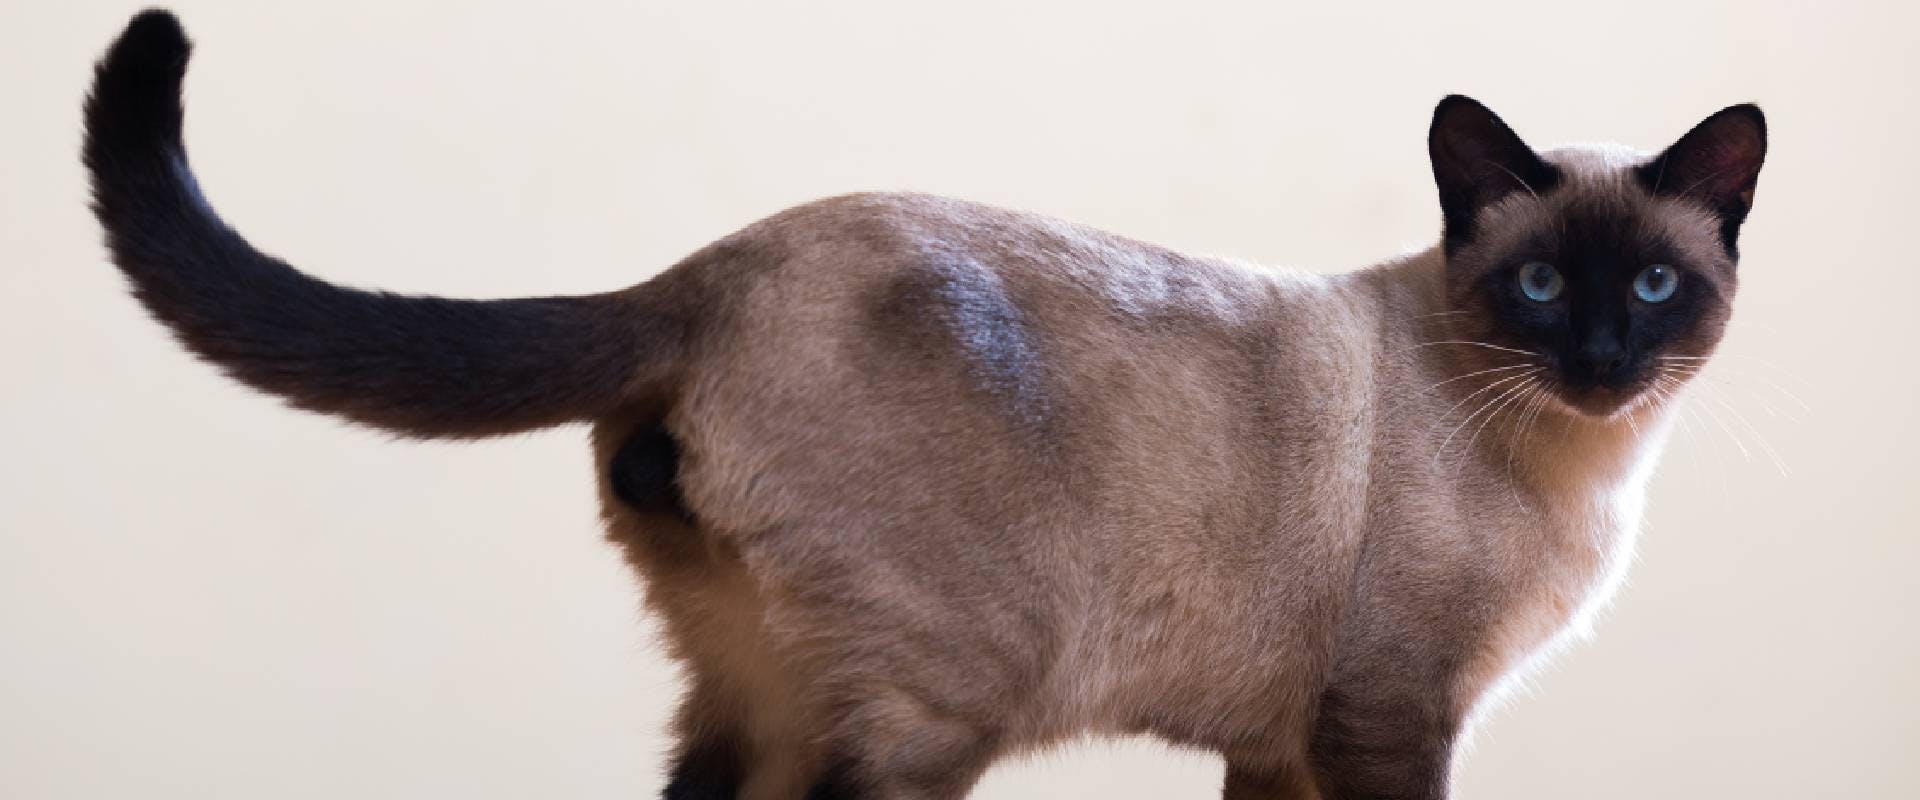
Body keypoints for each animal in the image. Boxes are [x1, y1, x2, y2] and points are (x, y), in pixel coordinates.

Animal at [86, 12, 1766, 798]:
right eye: (1540, 286)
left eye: (1654, 285)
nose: (1603, 355)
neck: (1581, 468)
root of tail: (705, 272)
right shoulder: (1390, 718)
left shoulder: (1289, 743)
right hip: (938, 703)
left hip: (752, 691)